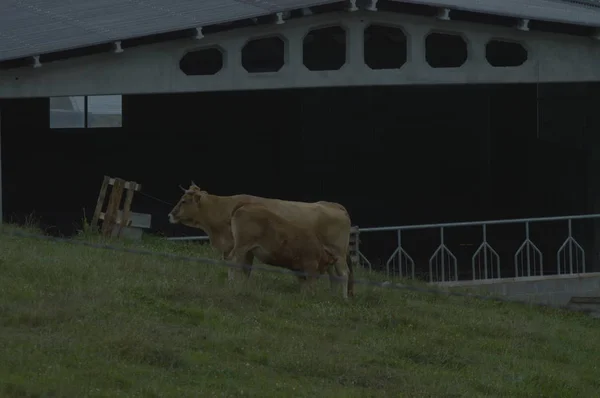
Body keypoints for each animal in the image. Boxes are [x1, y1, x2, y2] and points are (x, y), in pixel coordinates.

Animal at [166, 183, 354, 298]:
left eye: (184, 201)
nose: (170, 215)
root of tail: (333, 205)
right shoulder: (244, 249)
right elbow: (244, 270)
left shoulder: (241, 247)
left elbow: (241, 267)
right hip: (329, 255)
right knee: (333, 276)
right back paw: (332, 296)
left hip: (339, 253)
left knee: (344, 274)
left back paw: (343, 298)